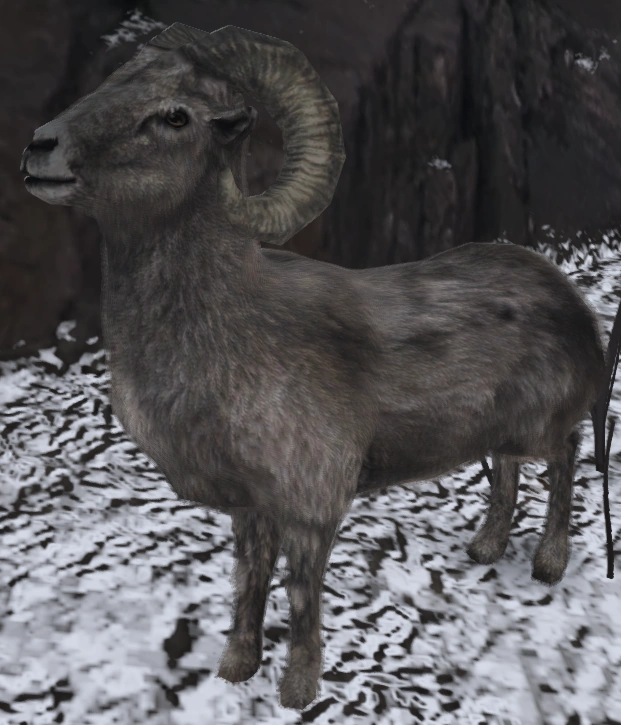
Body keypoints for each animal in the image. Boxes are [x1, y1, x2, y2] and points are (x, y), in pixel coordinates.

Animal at [20, 22, 608, 711]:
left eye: (175, 115)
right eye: (110, 82)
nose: (40, 147)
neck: (225, 336)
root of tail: (566, 295)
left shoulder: (311, 508)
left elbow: (301, 597)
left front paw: (297, 692)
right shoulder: (252, 510)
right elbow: (248, 582)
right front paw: (236, 669)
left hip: (545, 426)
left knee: (565, 462)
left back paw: (548, 563)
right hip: (500, 435)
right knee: (509, 473)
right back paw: (485, 549)